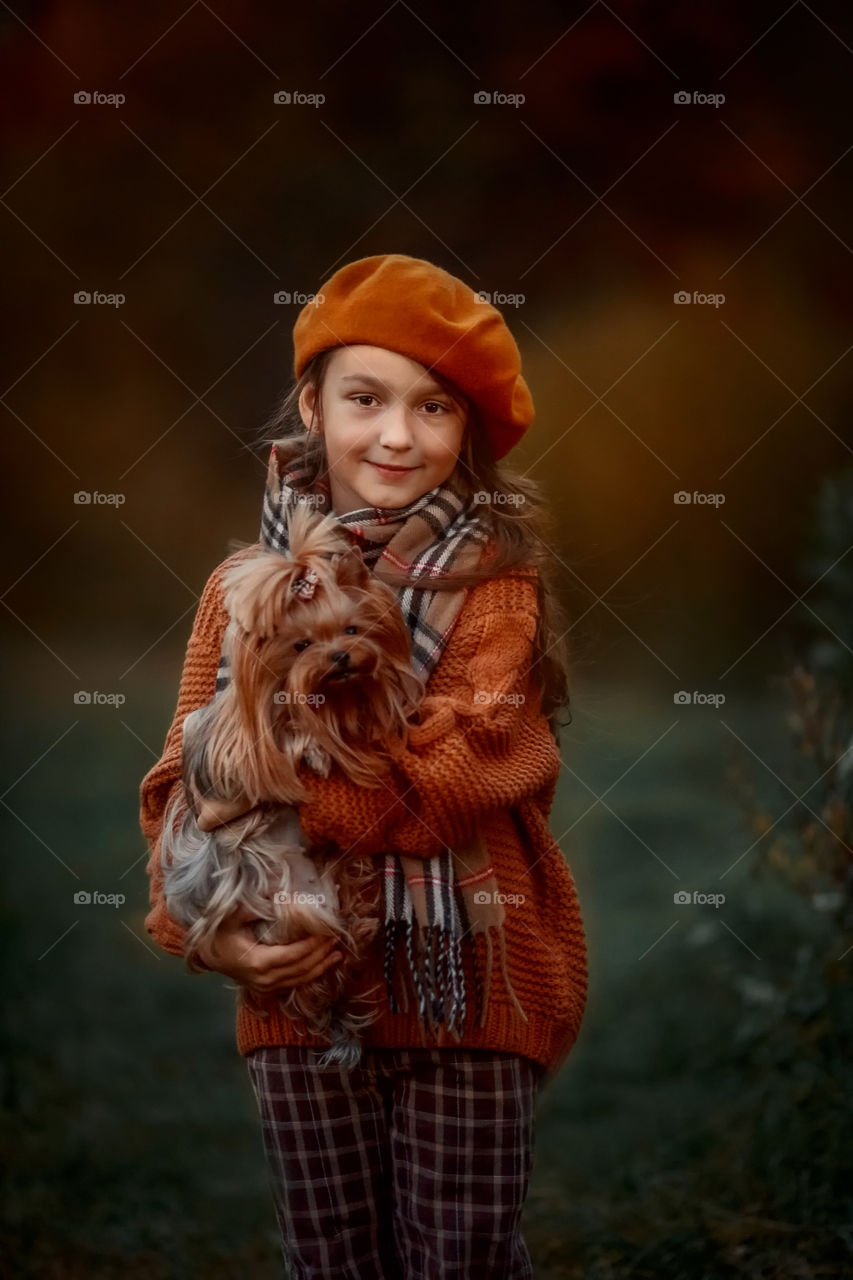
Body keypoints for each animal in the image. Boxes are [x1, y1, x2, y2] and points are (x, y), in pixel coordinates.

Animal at [157, 504, 422, 1064]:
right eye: (301, 644)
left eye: (352, 628)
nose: (342, 657)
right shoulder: (237, 742)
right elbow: (281, 740)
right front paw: (312, 745)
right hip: (288, 913)